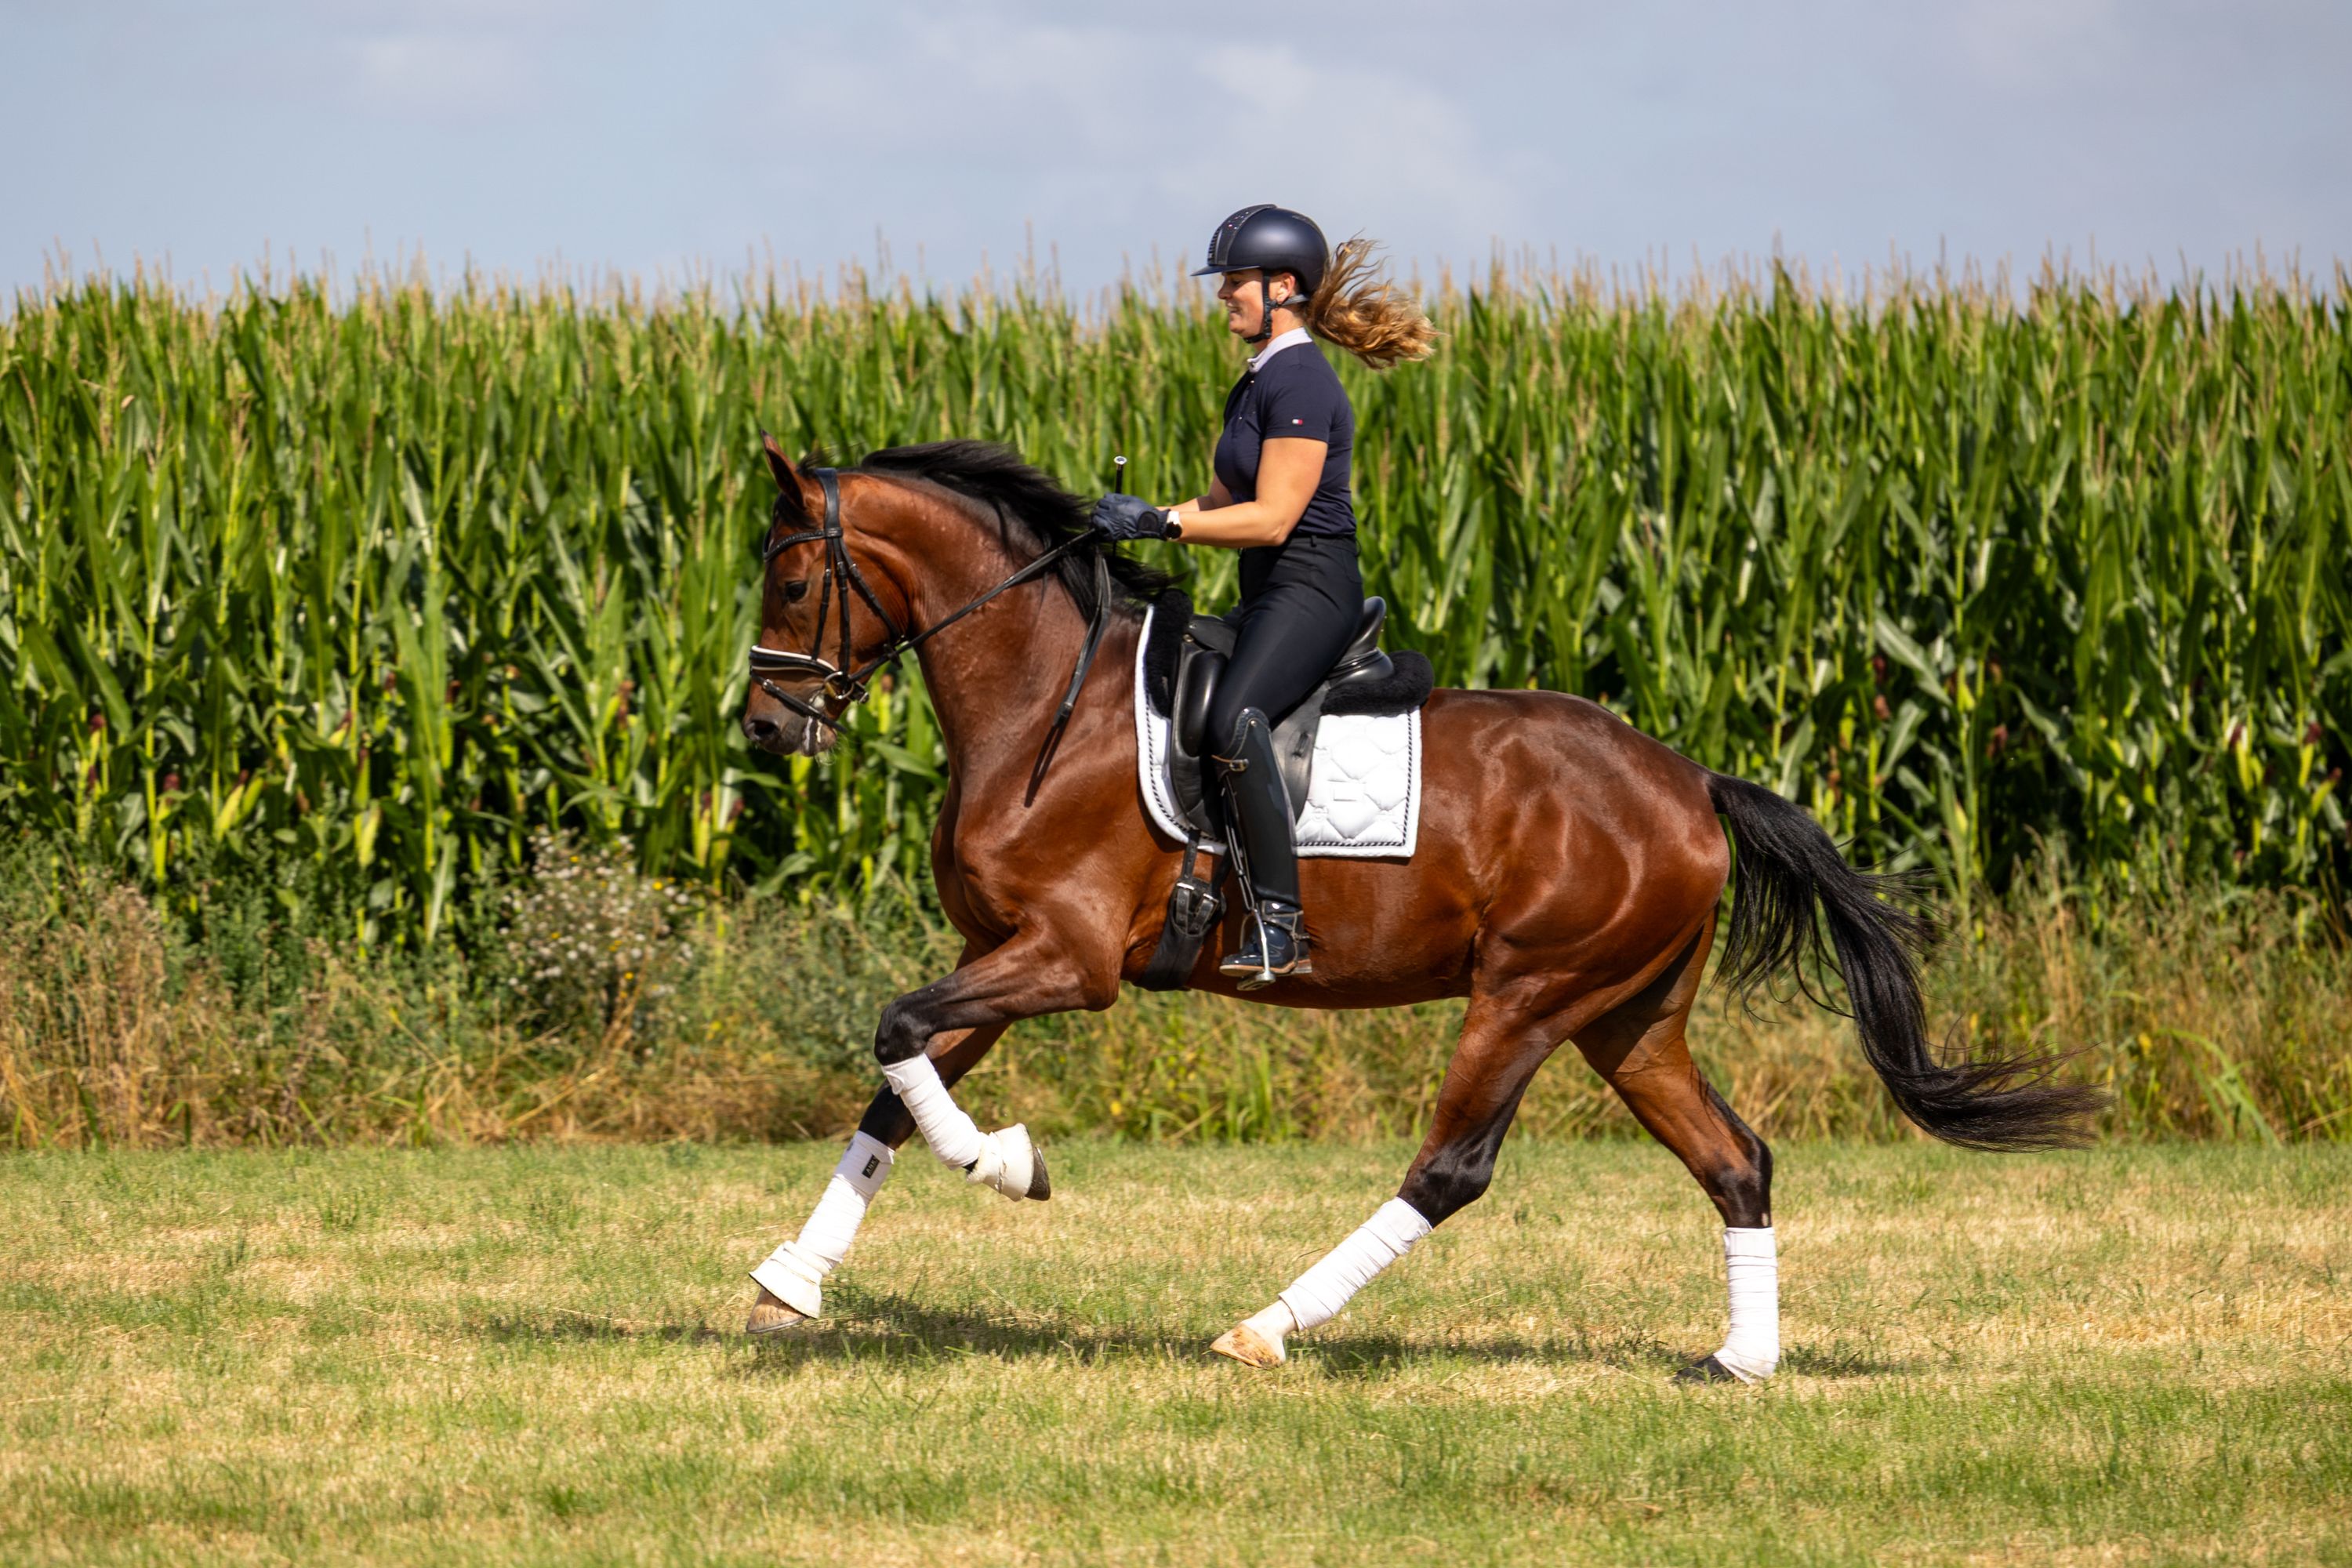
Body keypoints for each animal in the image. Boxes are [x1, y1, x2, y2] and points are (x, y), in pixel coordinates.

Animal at [735, 435, 2099, 1381]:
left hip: (1531, 993)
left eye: (792, 581)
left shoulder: (1066, 959)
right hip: (1630, 1018)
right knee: (1735, 1161)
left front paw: (1011, 1165)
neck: (1040, 704)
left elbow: (899, 1036)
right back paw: (1740, 1362)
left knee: (1452, 1168)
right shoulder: (997, 951)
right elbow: (896, 1081)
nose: (763, 728)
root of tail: (1690, 782)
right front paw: (792, 1282)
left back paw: (1269, 1327)